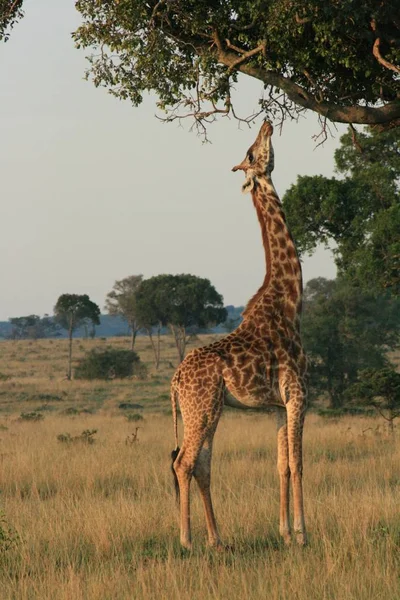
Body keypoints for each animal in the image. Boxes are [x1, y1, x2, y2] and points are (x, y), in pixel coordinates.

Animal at [170, 119, 308, 552]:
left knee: (201, 464)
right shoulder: (298, 395)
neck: (291, 303)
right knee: (183, 461)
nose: (266, 122)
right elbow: (298, 462)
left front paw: (284, 533)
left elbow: (281, 465)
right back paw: (187, 540)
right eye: (252, 153)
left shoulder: (278, 405)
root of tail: (173, 382)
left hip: (206, 410)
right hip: (201, 409)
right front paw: (304, 533)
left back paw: (217, 539)